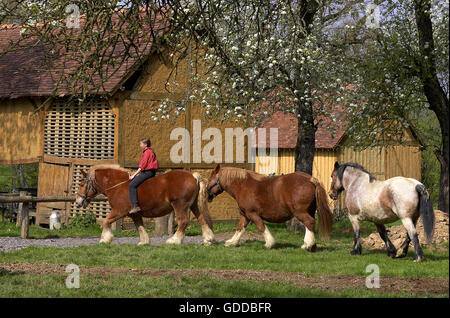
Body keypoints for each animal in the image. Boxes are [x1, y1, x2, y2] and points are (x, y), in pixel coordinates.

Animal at [74, 165, 215, 247]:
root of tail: (192, 176)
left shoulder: (119, 211)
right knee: (202, 220)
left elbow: (106, 221)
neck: (118, 185)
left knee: (183, 222)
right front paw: (144, 241)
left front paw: (105, 239)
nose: (77, 201)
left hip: (179, 205)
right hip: (193, 206)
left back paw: (174, 240)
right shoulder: (134, 214)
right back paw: (208, 239)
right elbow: (140, 226)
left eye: (81, 184)